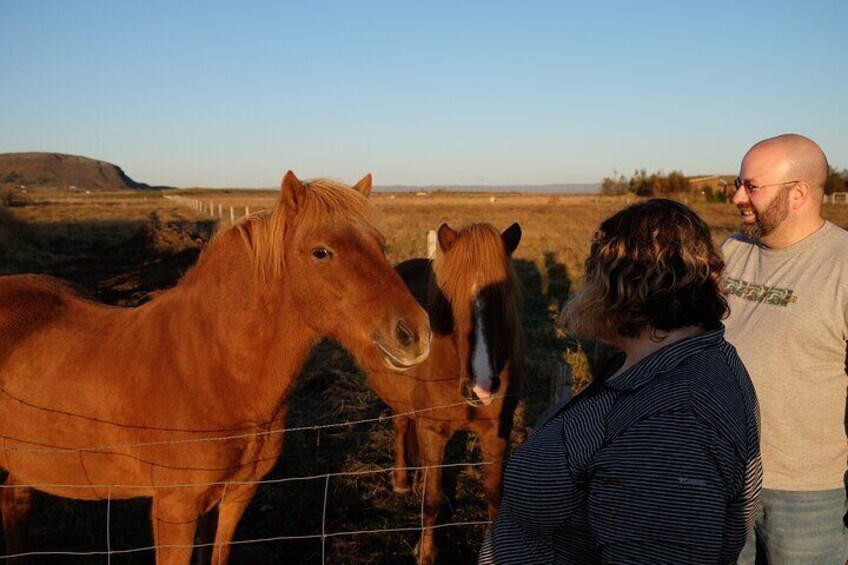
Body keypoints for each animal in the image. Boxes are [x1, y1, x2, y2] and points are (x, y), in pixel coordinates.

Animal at [0, 172, 430, 564]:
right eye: (321, 252)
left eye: (380, 245)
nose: (416, 334)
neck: (213, 370)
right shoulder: (175, 508)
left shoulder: (234, 495)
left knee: (15, 503)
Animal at [366, 220, 524, 564]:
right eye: (450, 299)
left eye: (505, 294)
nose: (482, 386)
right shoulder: (433, 431)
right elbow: (433, 498)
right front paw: (426, 552)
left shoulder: (497, 431)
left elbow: (494, 493)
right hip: (400, 402)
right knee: (401, 426)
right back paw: (402, 481)